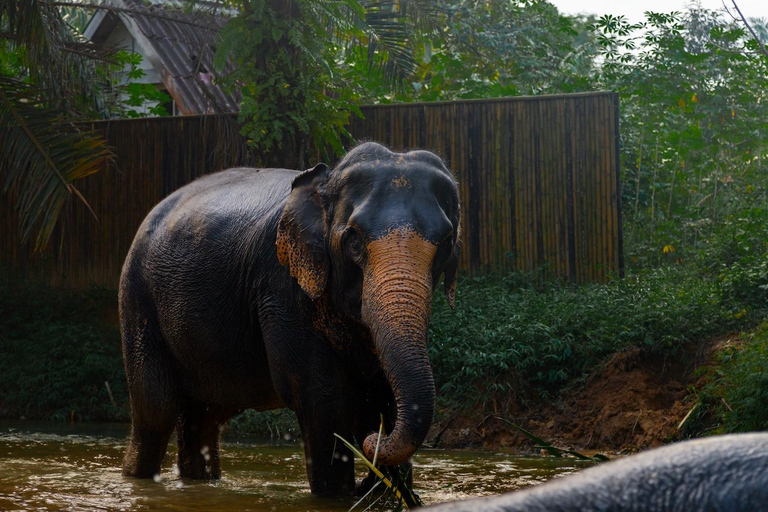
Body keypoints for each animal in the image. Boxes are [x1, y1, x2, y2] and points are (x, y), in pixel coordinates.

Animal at [117, 141, 460, 496]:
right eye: (353, 241)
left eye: (447, 243)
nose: (370, 441)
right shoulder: (281, 287)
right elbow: (323, 401)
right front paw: (342, 493)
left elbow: (382, 395)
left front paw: (386, 488)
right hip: (137, 301)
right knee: (156, 411)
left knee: (206, 416)